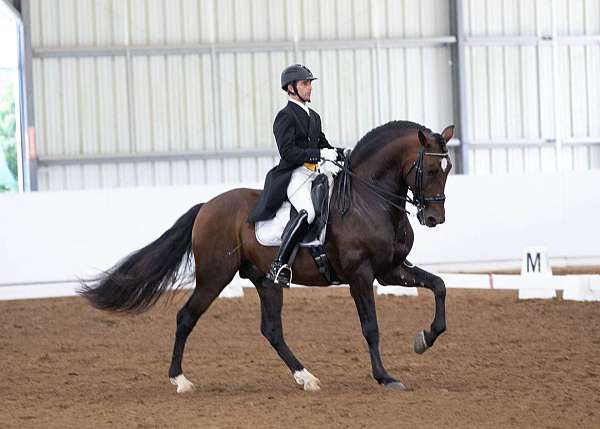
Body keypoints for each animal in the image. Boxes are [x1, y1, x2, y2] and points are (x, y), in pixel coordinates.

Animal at [81, 120, 454, 392]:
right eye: (430, 170)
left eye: (448, 169)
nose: (434, 218)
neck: (368, 200)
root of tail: (207, 207)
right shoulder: (361, 275)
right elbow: (371, 327)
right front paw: (385, 377)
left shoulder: (391, 270)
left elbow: (439, 285)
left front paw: (424, 339)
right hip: (214, 277)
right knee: (186, 317)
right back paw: (180, 380)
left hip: (265, 281)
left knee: (272, 330)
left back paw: (306, 378)